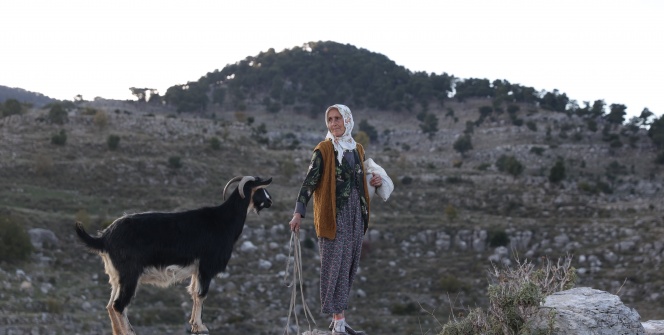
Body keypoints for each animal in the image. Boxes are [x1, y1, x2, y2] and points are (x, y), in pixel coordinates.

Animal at [72, 176, 270, 335]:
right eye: (260, 190)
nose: (270, 202)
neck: (223, 220)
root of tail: (104, 237)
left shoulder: (196, 270)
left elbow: (193, 292)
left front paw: (194, 325)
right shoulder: (206, 266)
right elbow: (201, 294)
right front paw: (201, 326)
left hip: (116, 276)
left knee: (111, 305)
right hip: (130, 275)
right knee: (119, 305)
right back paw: (129, 332)